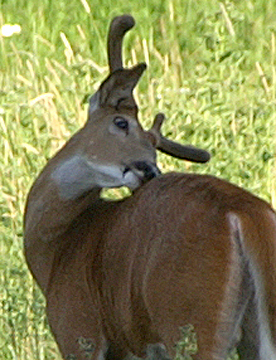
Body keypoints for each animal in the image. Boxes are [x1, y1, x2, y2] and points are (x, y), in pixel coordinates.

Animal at [23, 14, 276, 360]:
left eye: (153, 148)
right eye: (120, 123)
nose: (150, 169)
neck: (56, 248)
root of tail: (245, 212)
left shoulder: (77, 330)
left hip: (190, 317)